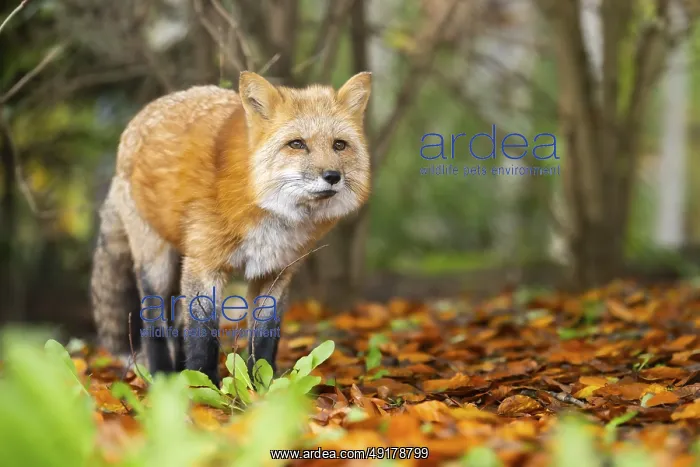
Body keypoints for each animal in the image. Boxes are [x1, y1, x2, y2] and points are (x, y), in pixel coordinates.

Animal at [90, 71, 372, 386]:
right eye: (297, 144)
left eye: (339, 145)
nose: (332, 176)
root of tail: (134, 124)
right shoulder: (204, 267)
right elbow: (203, 338)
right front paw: (205, 386)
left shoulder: (275, 272)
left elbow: (263, 339)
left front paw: (261, 386)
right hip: (157, 265)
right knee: (154, 325)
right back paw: (163, 378)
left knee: (178, 325)